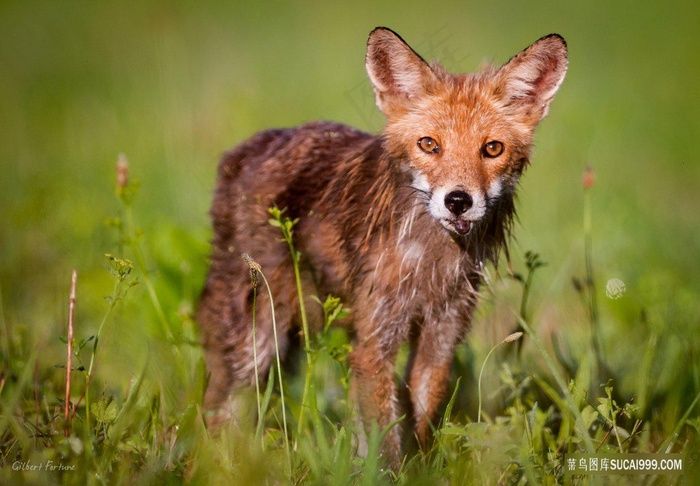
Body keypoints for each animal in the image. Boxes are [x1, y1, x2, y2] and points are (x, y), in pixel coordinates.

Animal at [197, 26, 568, 468]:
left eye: (492, 149)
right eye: (429, 145)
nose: (458, 201)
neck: (429, 265)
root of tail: (246, 149)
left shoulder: (442, 335)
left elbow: (419, 419)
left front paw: (423, 470)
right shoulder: (375, 339)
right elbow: (384, 437)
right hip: (256, 334)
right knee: (221, 407)